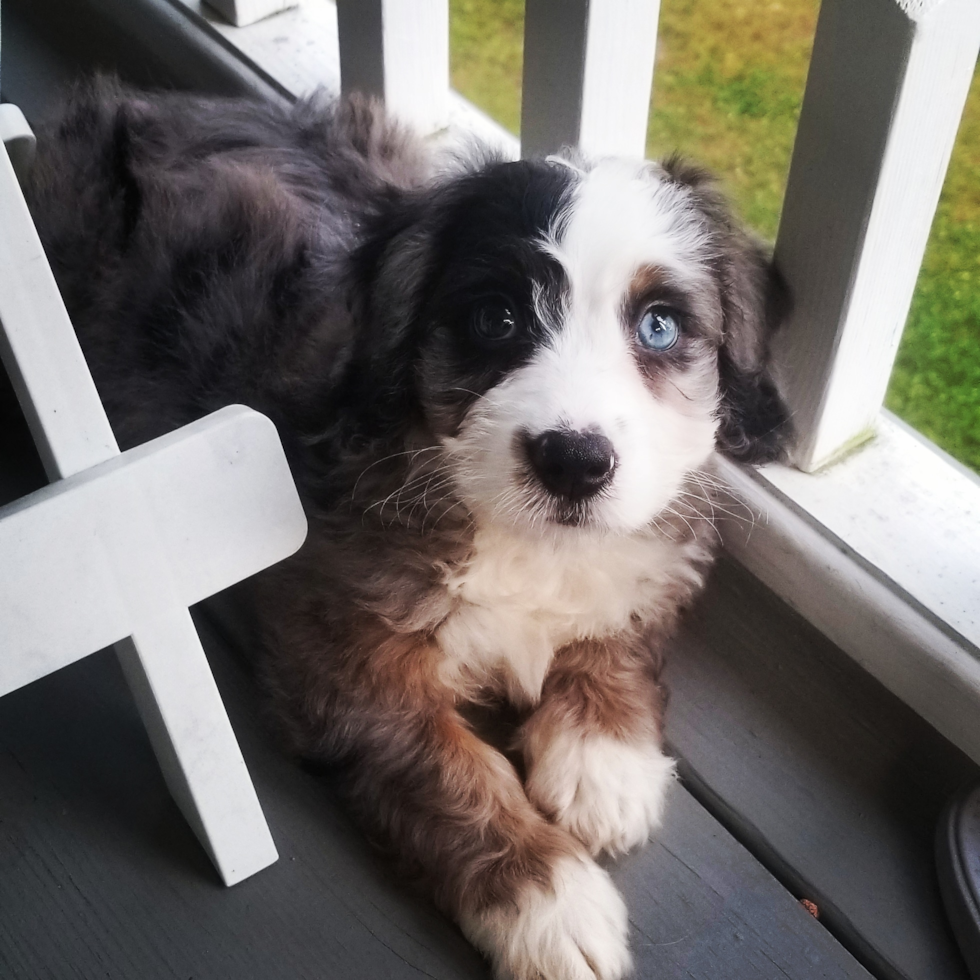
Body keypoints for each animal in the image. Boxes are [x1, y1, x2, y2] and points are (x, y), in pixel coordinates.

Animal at [24, 78, 788, 980]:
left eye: (660, 326)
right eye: (495, 320)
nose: (573, 462)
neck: (519, 538)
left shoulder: (653, 551)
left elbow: (618, 633)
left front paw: (607, 764)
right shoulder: (345, 657)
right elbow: (449, 769)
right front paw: (549, 901)